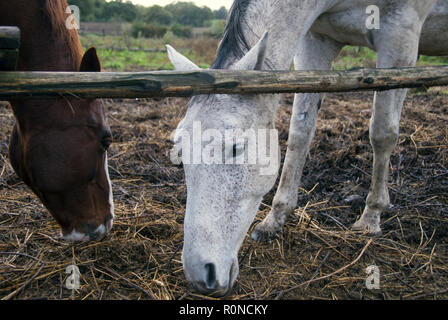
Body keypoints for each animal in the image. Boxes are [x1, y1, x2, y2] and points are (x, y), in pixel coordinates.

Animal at [166, 0, 446, 296]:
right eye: (180, 154)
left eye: (236, 147)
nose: (201, 275)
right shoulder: (316, 40)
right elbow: (301, 129)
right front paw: (276, 218)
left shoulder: (401, 35)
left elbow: (382, 133)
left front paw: (372, 216)